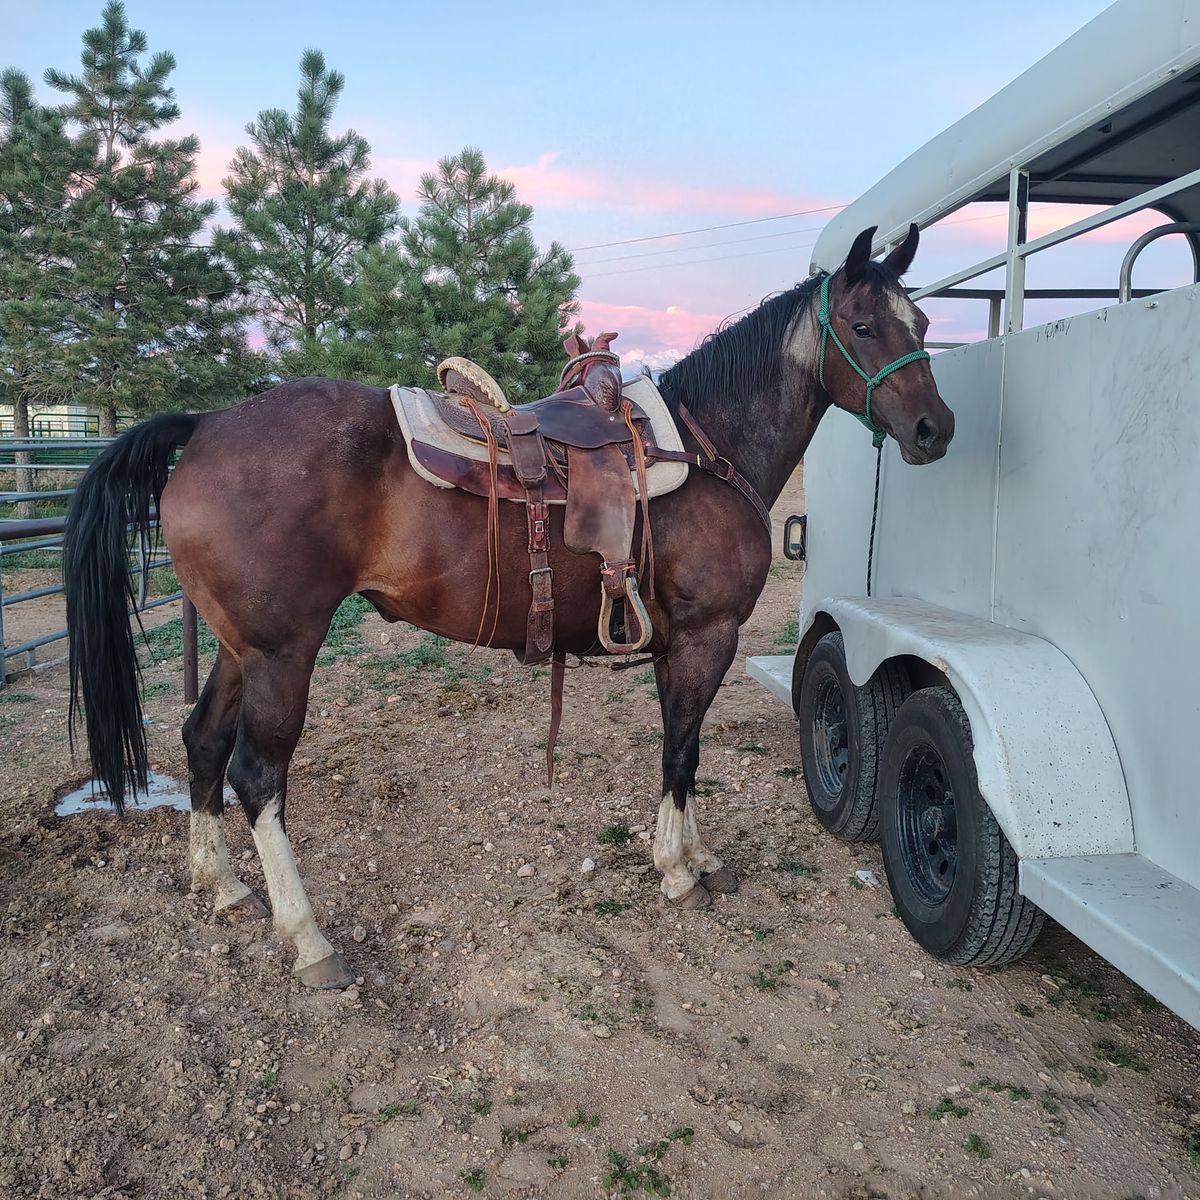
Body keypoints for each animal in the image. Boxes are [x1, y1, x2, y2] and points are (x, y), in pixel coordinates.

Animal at [64, 224, 954, 989]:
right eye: (864, 325)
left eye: (922, 321)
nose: (934, 428)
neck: (707, 452)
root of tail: (208, 425)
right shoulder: (708, 638)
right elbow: (679, 755)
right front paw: (676, 871)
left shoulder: (680, 646)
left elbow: (686, 750)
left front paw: (696, 857)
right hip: (284, 653)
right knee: (257, 773)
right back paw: (308, 938)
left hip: (240, 647)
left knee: (202, 742)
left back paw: (219, 884)